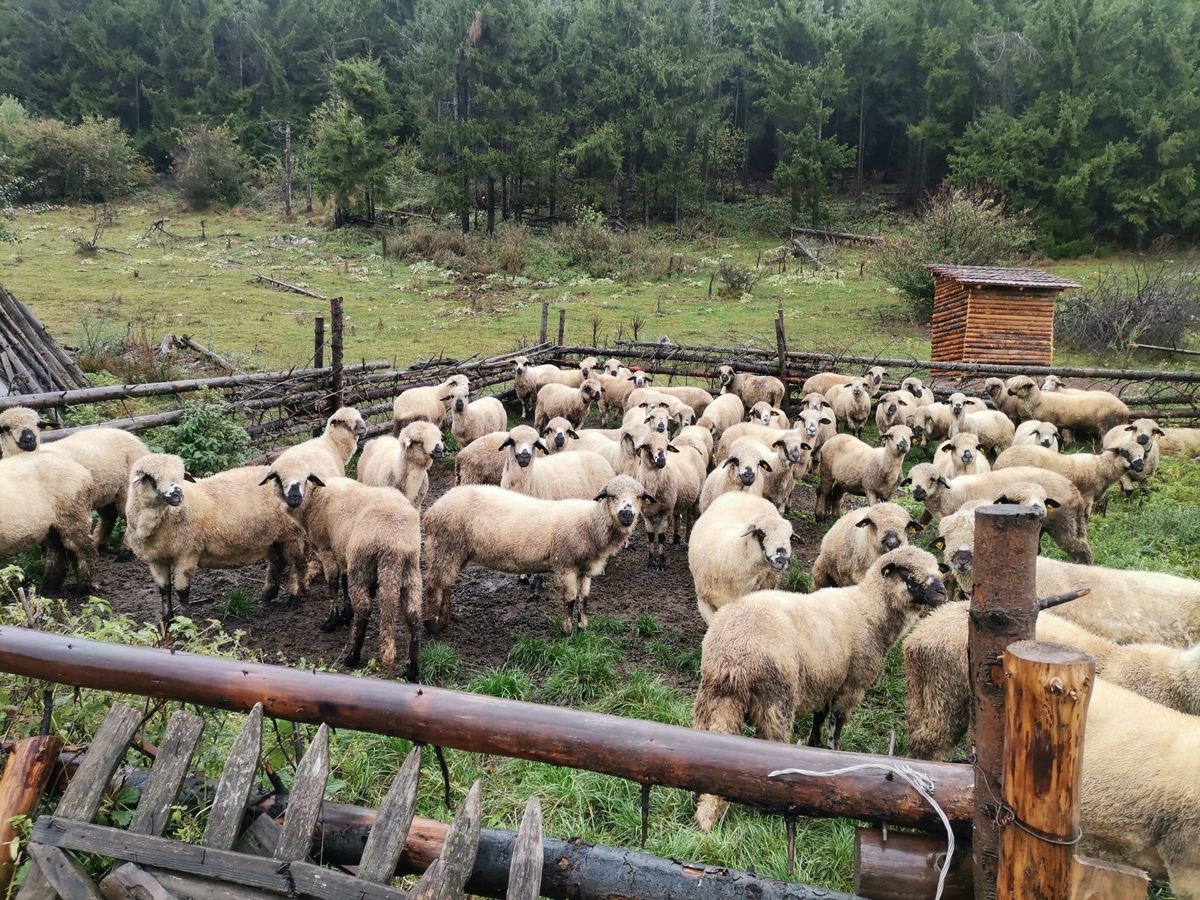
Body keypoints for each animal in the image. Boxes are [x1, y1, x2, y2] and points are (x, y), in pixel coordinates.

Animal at [422, 480, 648, 633]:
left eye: (639, 497)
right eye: (611, 495)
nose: (626, 514)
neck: (590, 523)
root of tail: (434, 507)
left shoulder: (585, 568)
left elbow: (583, 598)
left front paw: (583, 626)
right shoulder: (564, 563)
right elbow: (570, 599)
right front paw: (567, 631)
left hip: (455, 551)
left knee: (445, 583)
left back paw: (445, 619)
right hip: (444, 546)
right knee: (434, 584)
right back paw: (432, 625)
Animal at [696, 542, 945, 830]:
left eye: (936, 567)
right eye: (906, 571)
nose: (943, 592)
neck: (869, 611)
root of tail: (733, 658)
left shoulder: (825, 680)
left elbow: (820, 716)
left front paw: (814, 747)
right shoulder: (850, 685)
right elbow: (836, 723)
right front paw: (834, 752)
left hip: (711, 695)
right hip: (776, 700)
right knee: (771, 749)